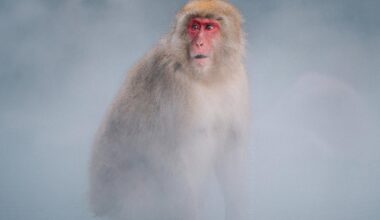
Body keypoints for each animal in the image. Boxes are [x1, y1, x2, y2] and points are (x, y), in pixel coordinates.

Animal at [88, 0, 249, 218]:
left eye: (209, 27)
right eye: (194, 26)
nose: (199, 43)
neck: (207, 78)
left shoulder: (237, 80)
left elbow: (231, 147)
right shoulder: (172, 82)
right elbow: (165, 150)